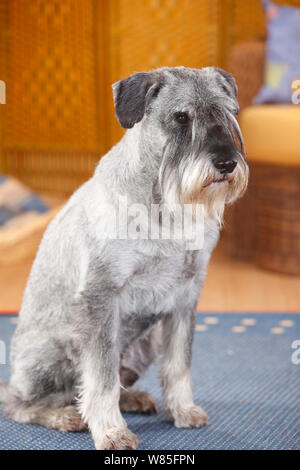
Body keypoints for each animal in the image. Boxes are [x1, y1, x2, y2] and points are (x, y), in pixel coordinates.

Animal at [0, 65, 248, 448]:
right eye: (181, 117)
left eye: (228, 113)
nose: (226, 163)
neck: (163, 209)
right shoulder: (101, 297)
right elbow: (101, 378)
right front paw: (112, 432)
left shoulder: (185, 296)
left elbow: (179, 362)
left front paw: (183, 410)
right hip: (57, 353)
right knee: (19, 402)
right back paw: (63, 415)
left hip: (145, 342)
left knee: (117, 381)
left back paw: (134, 399)